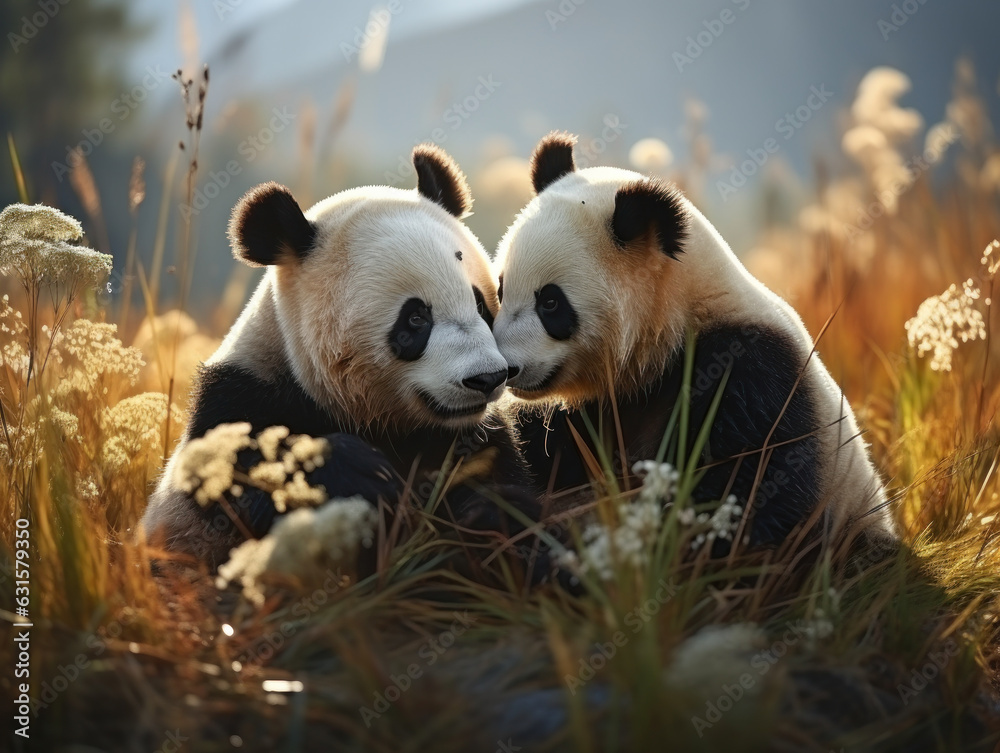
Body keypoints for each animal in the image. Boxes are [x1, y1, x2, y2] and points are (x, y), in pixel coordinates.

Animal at [142, 145, 542, 570]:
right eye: (416, 318)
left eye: (481, 305)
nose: (487, 379)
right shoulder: (241, 398)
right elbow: (235, 485)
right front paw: (362, 475)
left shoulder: (477, 437)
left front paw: (493, 518)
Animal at [492, 132, 896, 549]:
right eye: (501, 289)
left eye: (551, 303)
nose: (507, 368)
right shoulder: (593, 408)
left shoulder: (746, 372)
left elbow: (748, 491)